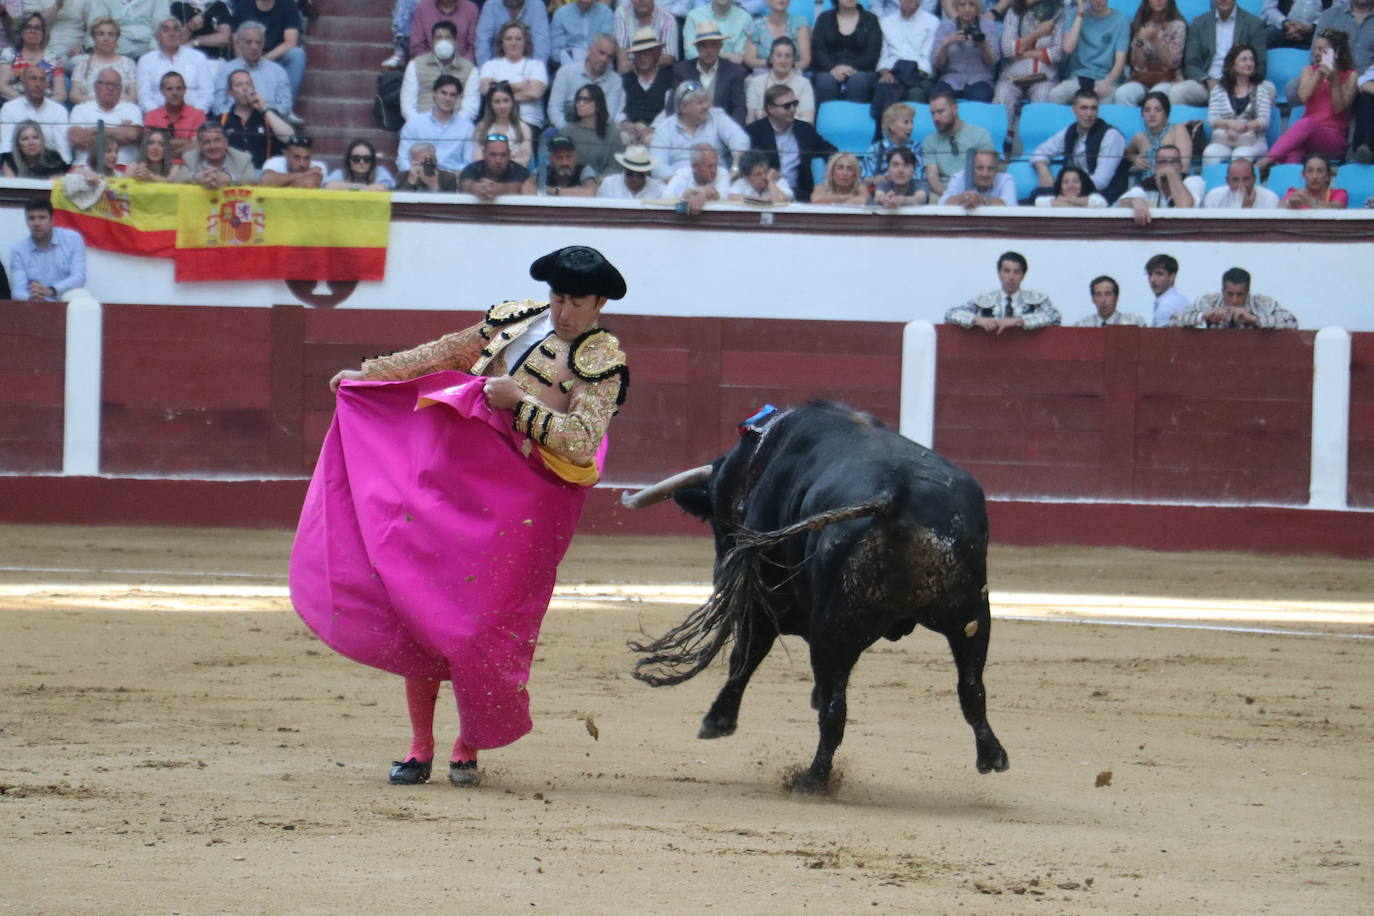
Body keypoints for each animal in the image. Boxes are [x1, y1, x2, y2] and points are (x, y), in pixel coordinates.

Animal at [623, 403, 1011, 796]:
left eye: (718, 515)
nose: (719, 569)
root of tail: (895, 495)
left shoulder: (764, 600)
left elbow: (745, 655)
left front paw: (717, 720)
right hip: (970, 615)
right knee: (971, 688)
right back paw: (992, 757)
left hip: (832, 626)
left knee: (834, 707)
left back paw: (812, 779)